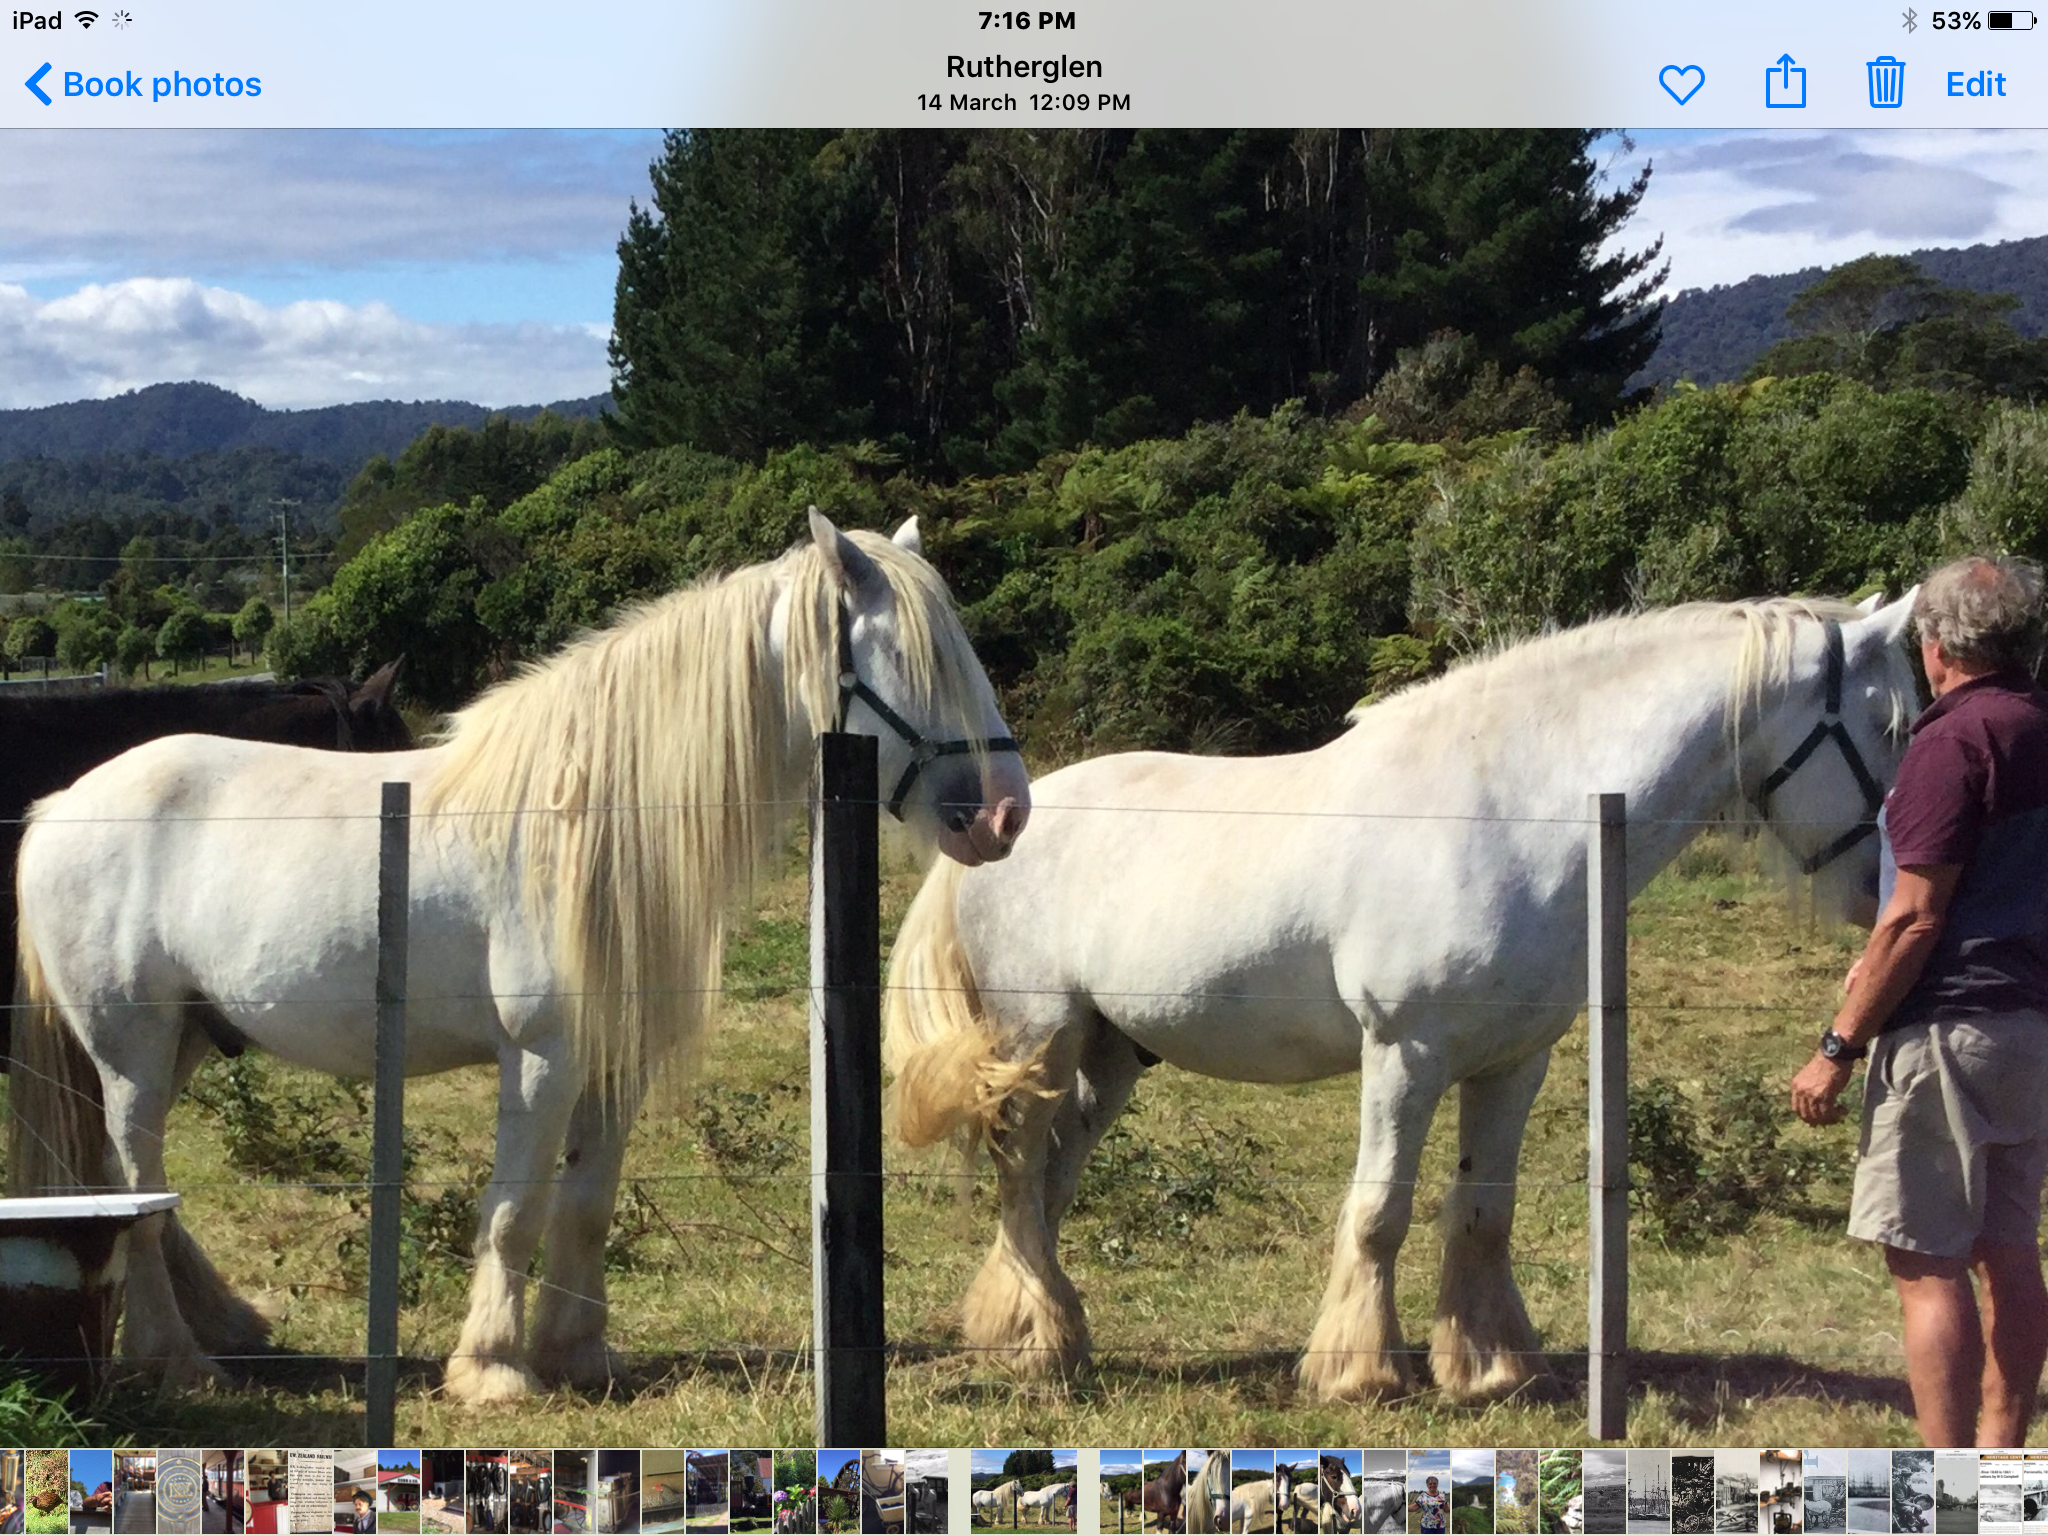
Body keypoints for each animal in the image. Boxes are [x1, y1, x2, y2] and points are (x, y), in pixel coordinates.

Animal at [7, 512, 1029, 1399]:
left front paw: (578, 1352)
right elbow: (514, 1210)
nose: (1005, 814)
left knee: (136, 1193)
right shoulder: (542, 1057)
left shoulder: (615, 1064)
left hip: (181, 1040)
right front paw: (494, 1368)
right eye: (913, 658)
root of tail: (59, 807)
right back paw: (176, 1361)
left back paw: (226, 1328)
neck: (593, 818)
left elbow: (586, 1204)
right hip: (132, 1053)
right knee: (138, 1191)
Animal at [885, 594, 1918, 1398]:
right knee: (1022, 1173)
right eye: (1891, 726)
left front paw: (1492, 1368)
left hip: (1111, 1056)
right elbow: (1380, 1209)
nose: (1885, 888)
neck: (1513, 813)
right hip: (1040, 1038)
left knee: (1052, 1180)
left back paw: (1029, 1328)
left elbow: (1483, 1211)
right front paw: (1356, 1371)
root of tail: (1000, 822)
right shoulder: (1405, 1054)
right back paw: (1046, 1347)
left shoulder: (1514, 1062)